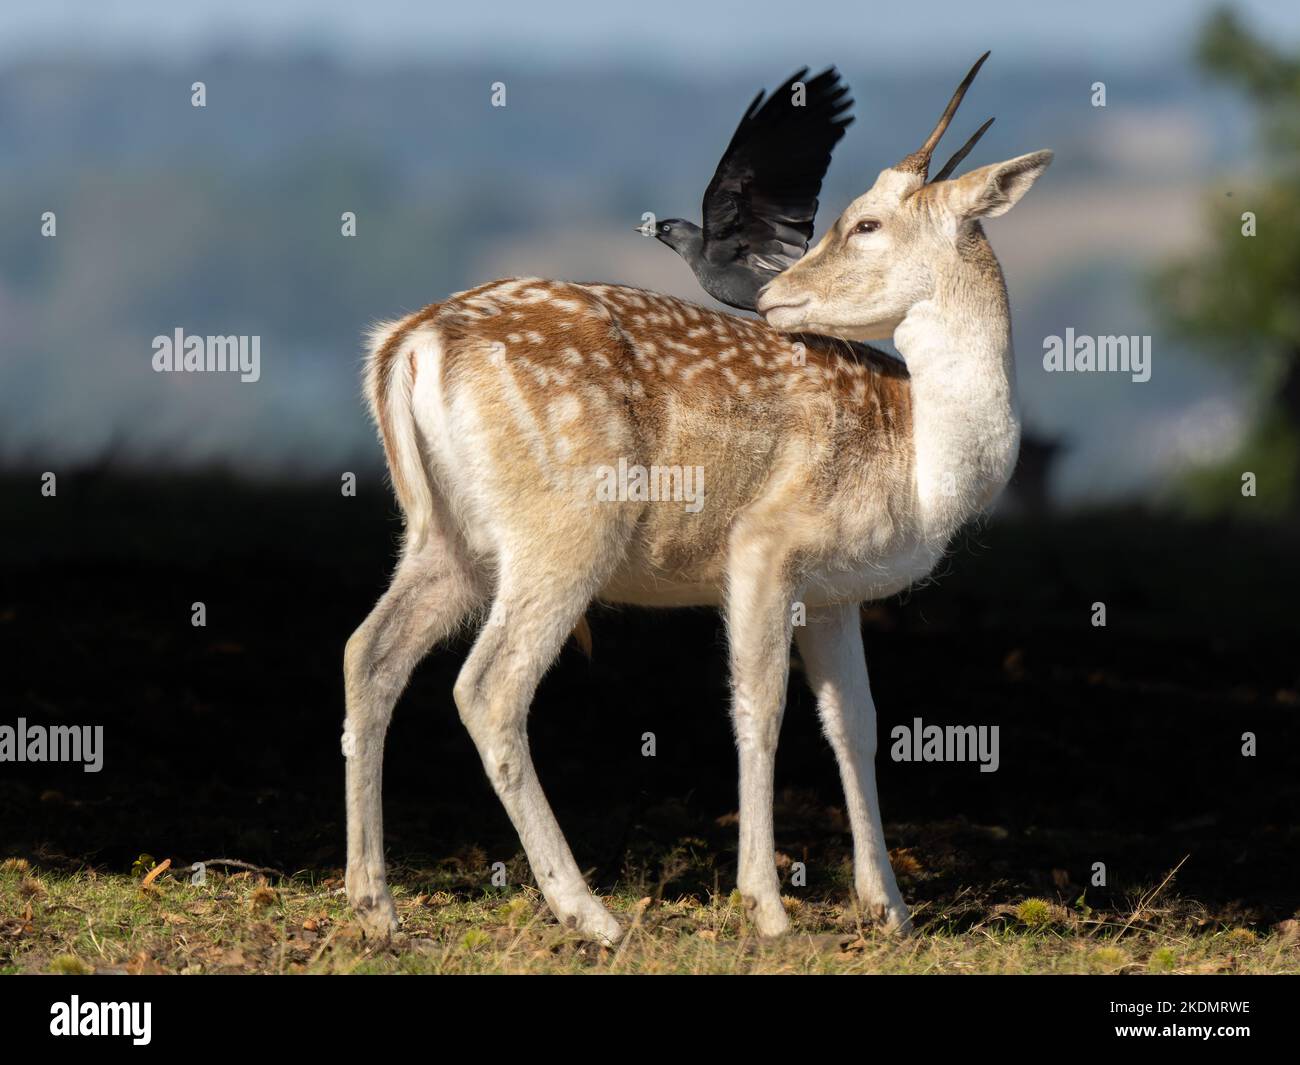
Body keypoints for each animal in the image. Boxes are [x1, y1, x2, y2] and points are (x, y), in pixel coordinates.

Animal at [342, 53, 1052, 944]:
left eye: (865, 225)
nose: (776, 292)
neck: (922, 460)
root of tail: (407, 342)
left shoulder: (836, 591)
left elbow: (856, 722)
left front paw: (890, 907)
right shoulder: (764, 545)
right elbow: (759, 708)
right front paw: (769, 906)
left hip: (449, 536)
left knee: (368, 651)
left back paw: (375, 904)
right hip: (565, 522)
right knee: (488, 685)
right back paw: (591, 912)